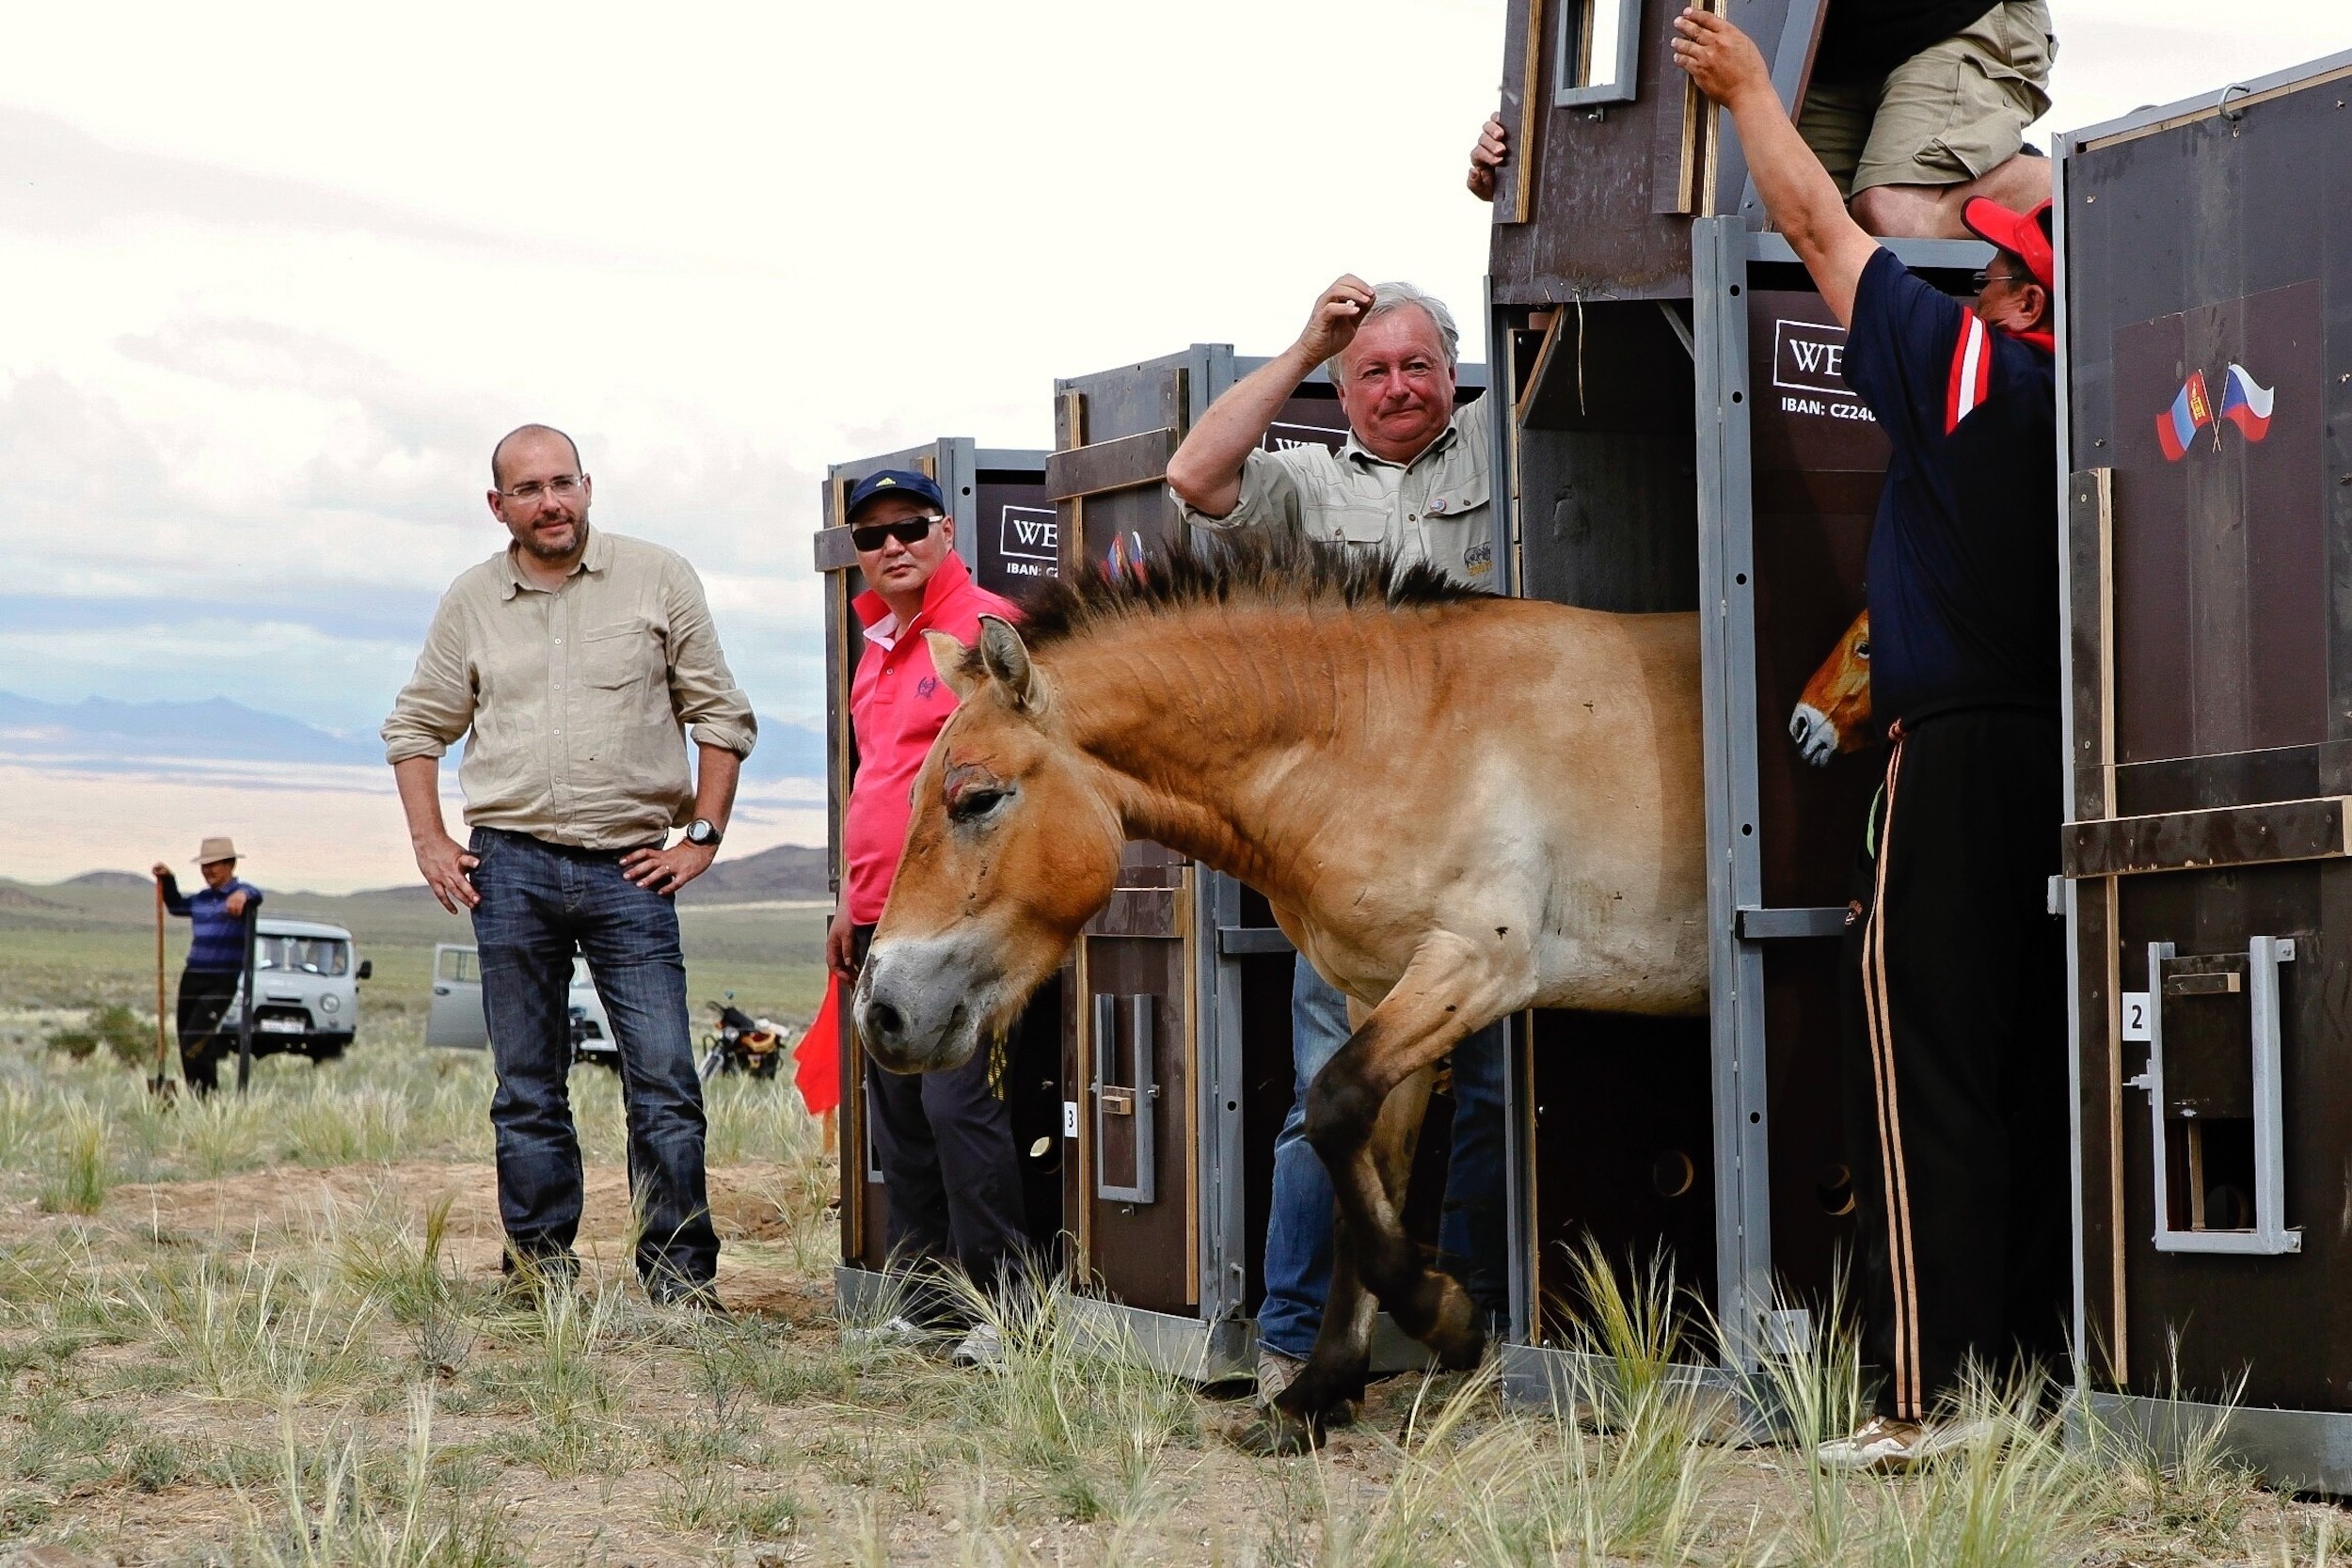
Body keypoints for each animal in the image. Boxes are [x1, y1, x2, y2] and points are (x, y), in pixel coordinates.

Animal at [856, 535, 1703, 1448]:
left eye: (976, 798)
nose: (883, 1010)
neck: (1399, 733)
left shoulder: (1475, 965)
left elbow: (1334, 1108)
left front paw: (1443, 1317)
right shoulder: (1381, 991)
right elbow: (1360, 1171)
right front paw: (1320, 1390)